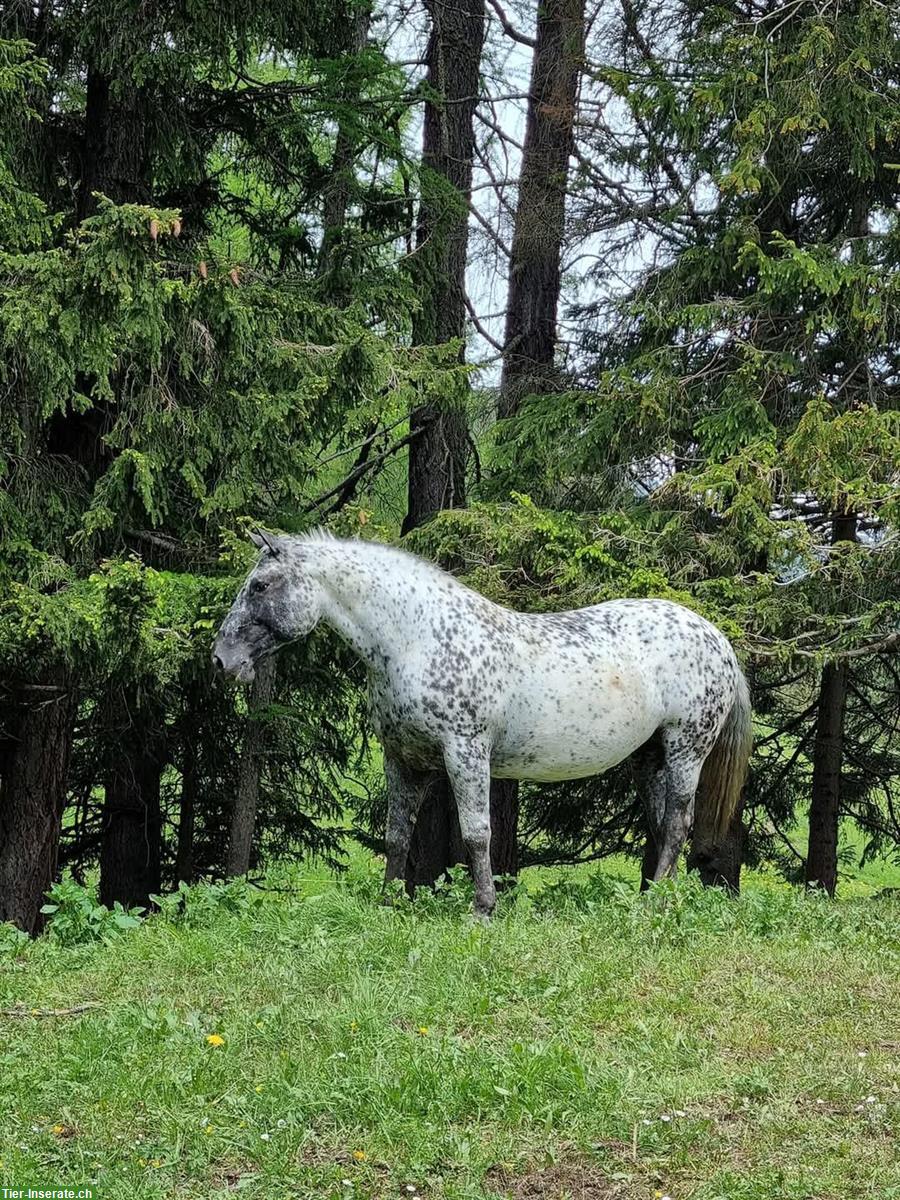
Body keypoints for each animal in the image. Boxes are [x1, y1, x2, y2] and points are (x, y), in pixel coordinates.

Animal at [213, 530, 753, 912]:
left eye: (260, 585)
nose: (222, 660)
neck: (419, 639)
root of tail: (716, 638)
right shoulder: (402, 760)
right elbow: (396, 835)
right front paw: (389, 903)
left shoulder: (466, 752)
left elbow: (476, 833)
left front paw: (483, 908)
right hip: (650, 757)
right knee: (662, 827)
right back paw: (653, 897)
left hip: (687, 750)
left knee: (679, 823)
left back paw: (657, 904)